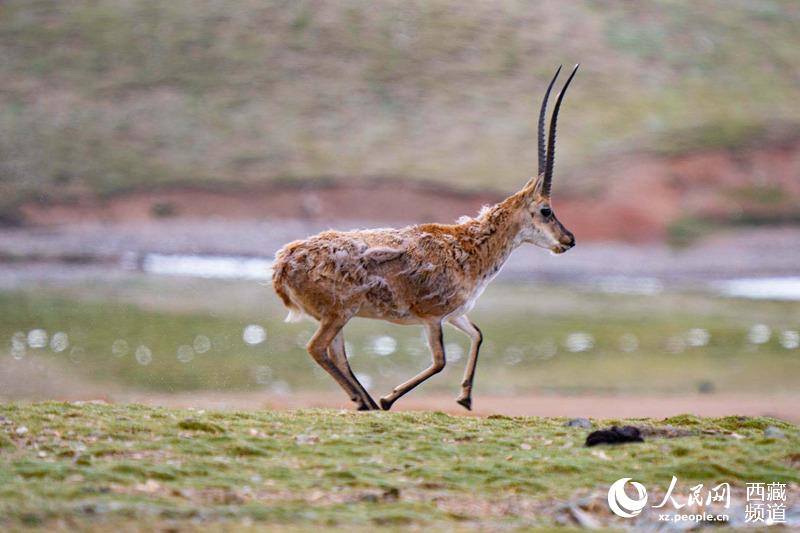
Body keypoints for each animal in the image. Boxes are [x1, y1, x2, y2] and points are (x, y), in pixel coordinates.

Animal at [272, 63, 580, 412]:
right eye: (546, 210)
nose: (569, 240)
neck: (468, 246)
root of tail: (282, 264)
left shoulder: (455, 314)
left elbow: (477, 334)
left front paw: (465, 398)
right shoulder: (432, 317)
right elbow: (439, 361)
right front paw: (389, 398)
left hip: (335, 317)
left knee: (335, 353)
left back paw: (364, 401)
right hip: (338, 313)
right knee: (317, 348)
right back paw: (370, 401)